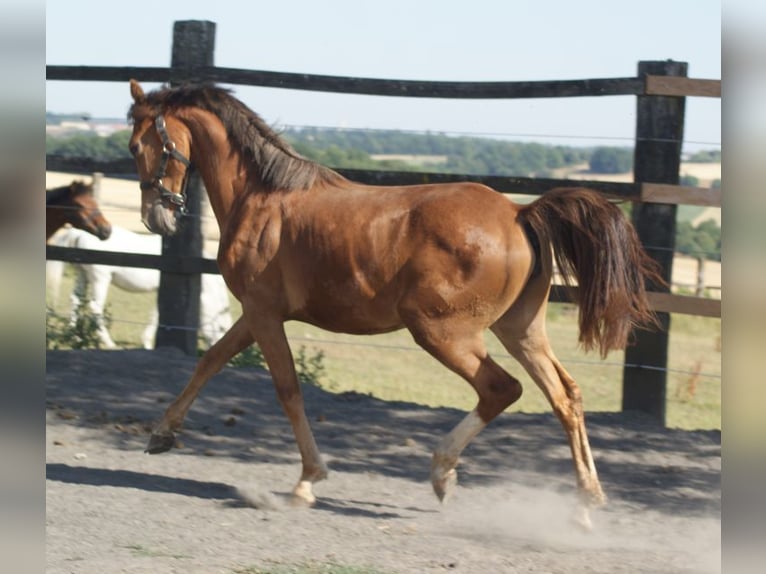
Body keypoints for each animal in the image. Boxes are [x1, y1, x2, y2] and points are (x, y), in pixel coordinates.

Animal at [47, 225, 233, 350]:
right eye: (222, 328)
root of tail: (78, 232)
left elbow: (156, 314)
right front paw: (147, 343)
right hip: (100, 278)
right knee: (95, 307)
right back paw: (108, 342)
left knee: (76, 300)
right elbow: (156, 315)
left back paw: (74, 337)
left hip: (83, 275)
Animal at [127, 79, 663, 528]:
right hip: (520, 329)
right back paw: (585, 505)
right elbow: (211, 361)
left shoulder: (263, 313)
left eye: (135, 145)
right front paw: (162, 434)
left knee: (501, 390)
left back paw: (443, 473)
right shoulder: (256, 314)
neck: (261, 200)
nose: (156, 218)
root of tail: (519, 212)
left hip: (442, 331)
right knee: (565, 396)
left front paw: (307, 482)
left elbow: (287, 389)